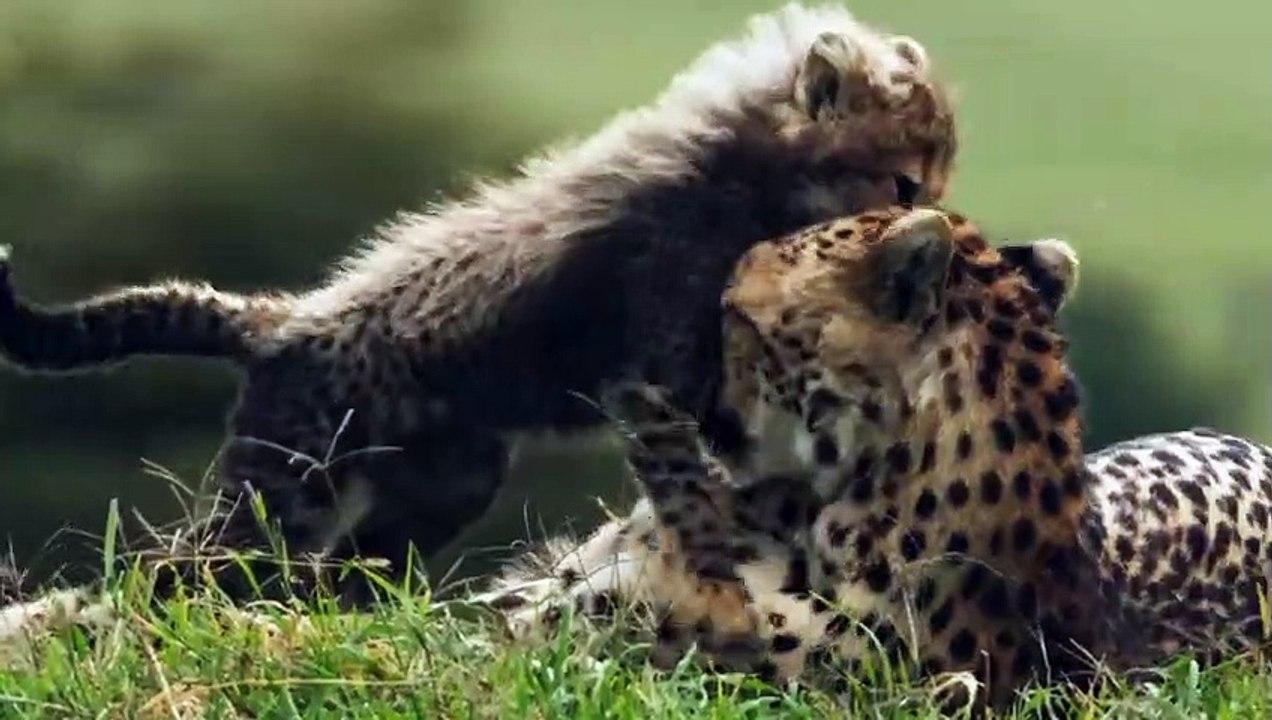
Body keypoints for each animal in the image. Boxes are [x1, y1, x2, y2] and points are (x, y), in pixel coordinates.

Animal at [0, 4, 956, 604]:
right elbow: (698, 480)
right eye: (904, 180)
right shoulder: (656, 381)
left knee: (340, 575)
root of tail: (288, 319)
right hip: (287, 487)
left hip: (444, 483)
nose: (938, 223)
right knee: (181, 573)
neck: (755, 176)